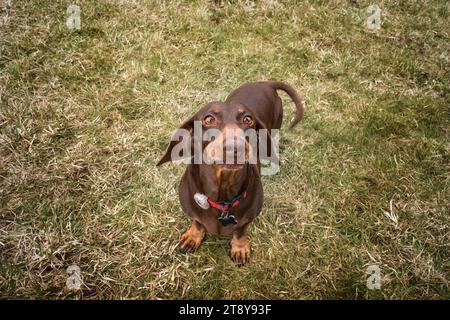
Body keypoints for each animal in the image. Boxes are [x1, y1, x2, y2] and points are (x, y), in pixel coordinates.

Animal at [156, 80, 304, 264]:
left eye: (248, 119)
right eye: (209, 119)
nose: (236, 147)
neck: (222, 200)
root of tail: (265, 82)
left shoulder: (248, 217)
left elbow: (240, 230)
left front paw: (240, 248)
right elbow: (198, 222)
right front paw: (193, 237)